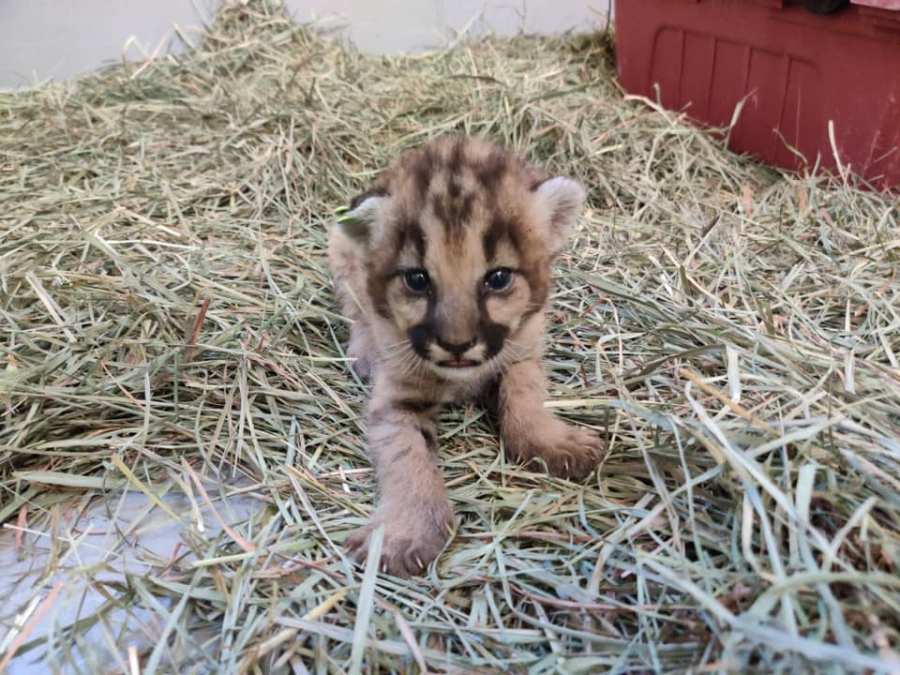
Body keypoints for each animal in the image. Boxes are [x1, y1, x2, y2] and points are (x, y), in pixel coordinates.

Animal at [326, 136, 600, 576]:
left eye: (498, 278)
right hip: (342, 255)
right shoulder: (396, 399)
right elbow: (408, 457)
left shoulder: (523, 349)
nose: (456, 345)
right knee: (356, 309)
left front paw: (553, 442)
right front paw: (407, 531)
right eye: (417, 279)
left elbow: (524, 395)